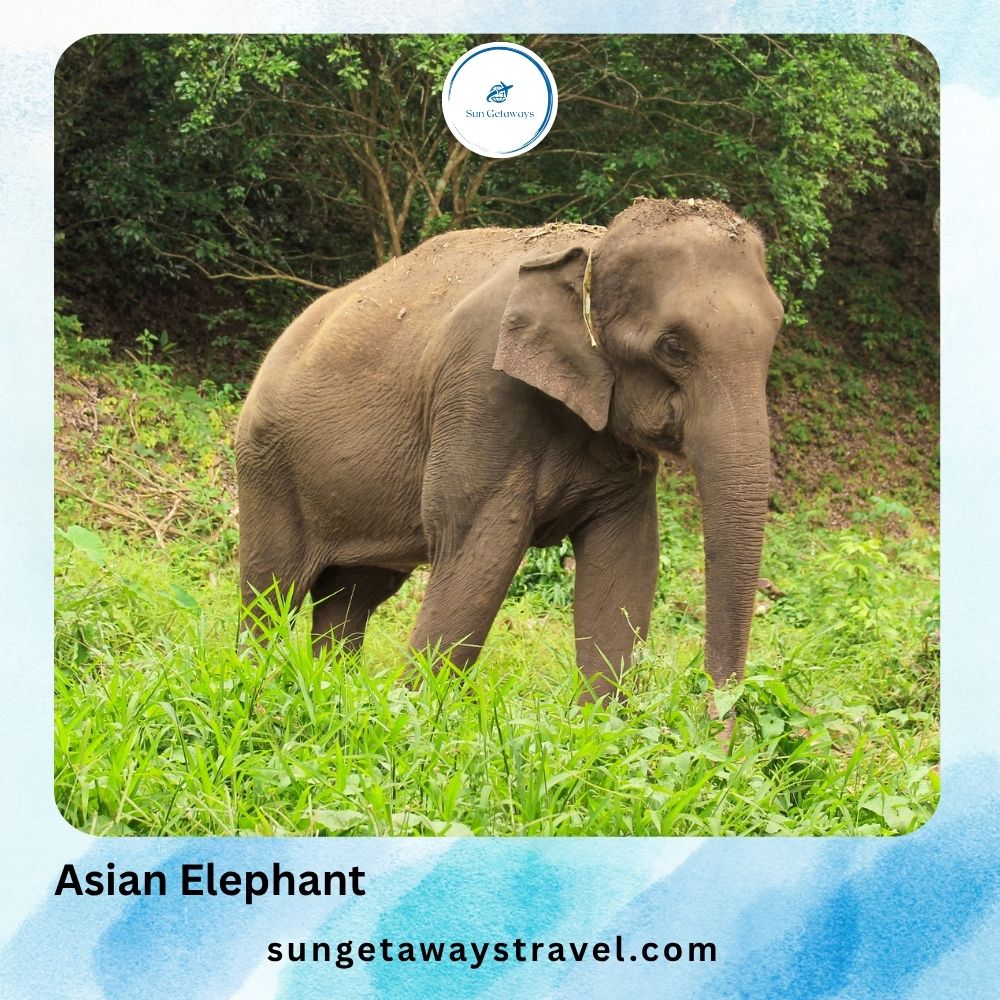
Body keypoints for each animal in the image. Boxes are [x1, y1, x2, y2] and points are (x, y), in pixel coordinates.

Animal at [236, 198, 784, 700]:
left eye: (776, 332)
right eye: (673, 347)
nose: (717, 718)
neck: (592, 249)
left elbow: (627, 555)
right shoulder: (482, 392)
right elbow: (480, 548)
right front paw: (415, 712)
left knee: (351, 596)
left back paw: (330, 688)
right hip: (267, 469)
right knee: (271, 593)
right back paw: (256, 683)